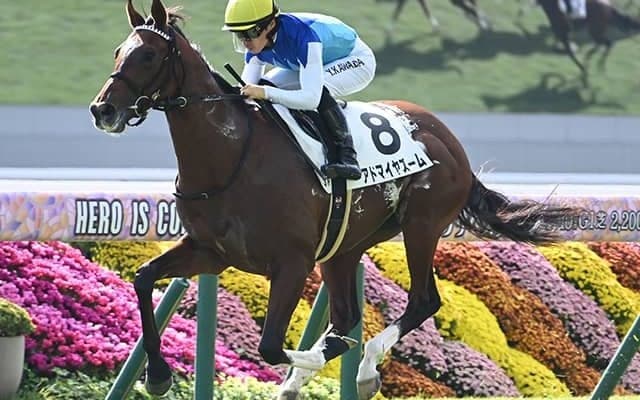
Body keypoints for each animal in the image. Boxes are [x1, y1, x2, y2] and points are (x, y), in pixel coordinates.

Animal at [90, 0, 580, 398]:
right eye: (116, 52)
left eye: (149, 54)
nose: (102, 110)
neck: (232, 156)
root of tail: (448, 138)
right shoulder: (211, 252)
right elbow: (143, 279)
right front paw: (157, 375)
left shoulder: (292, 263)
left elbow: (271, 346)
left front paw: (311, 363)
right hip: (346, 245)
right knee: (346, 315)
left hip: (422, 226)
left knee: (422, 301)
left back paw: (362, 370)